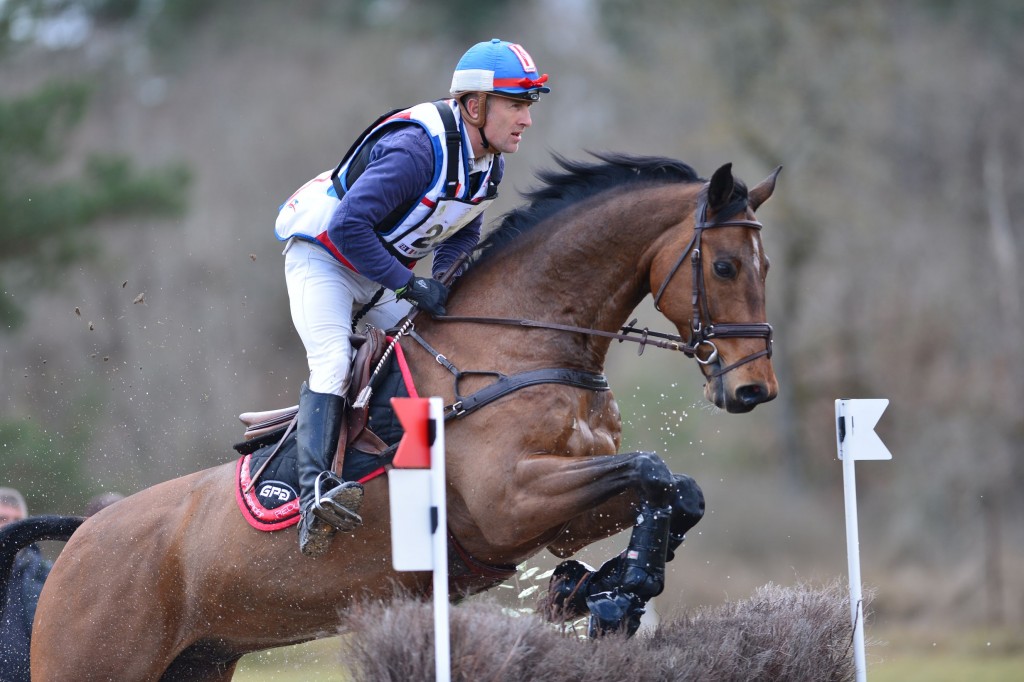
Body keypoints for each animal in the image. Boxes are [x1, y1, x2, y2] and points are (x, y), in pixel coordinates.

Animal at [4, 151, 778, 675]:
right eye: (726, 266)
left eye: (764, 267)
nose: (755, 391)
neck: (520, 343)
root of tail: (82, 535)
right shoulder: (511, 503)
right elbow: (652, 471)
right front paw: (614, 595)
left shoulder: (558, 512)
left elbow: (675, 490)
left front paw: (597, 588)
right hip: (92, 661)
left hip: (199, 660)